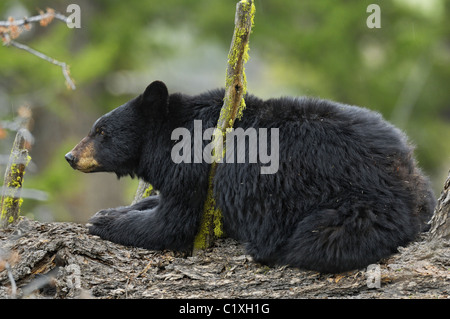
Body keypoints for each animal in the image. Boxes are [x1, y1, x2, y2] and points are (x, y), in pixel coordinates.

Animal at [66, 81, 436, 274]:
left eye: (100, 131)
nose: (70, 157)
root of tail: (409, 179)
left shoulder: (199, 170)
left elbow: (174, 223)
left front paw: (104, 221)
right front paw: (119, 210)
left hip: (354, 207)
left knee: (318, 240)